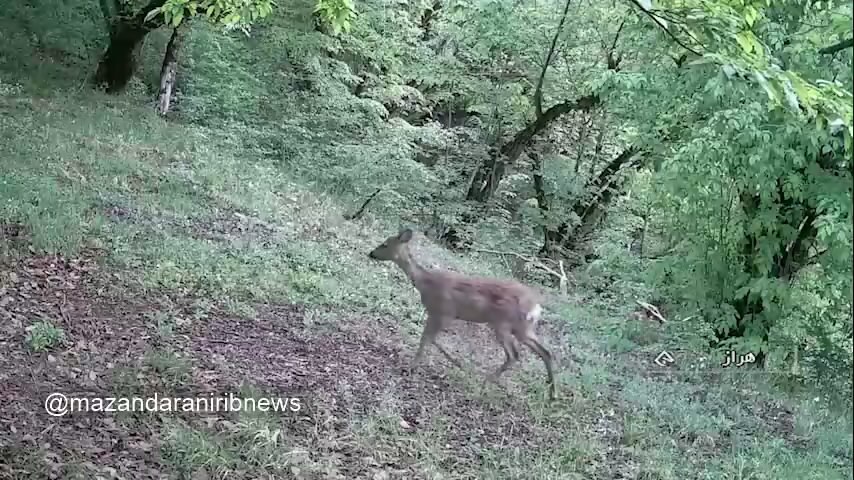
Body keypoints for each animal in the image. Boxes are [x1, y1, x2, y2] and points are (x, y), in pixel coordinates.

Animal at [370, 229, 560, 402]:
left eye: (385, 244)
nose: (371, 253)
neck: (425, 283)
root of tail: (536, 306)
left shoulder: (443, 312)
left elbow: (426, 339)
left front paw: (412, 367)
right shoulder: (440, 315)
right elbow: (431, 339)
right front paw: (455, 362)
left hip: (503, 324)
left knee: (514, 354)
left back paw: (487, 381)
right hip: (523, 328)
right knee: (545, 352)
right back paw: (552, 394)